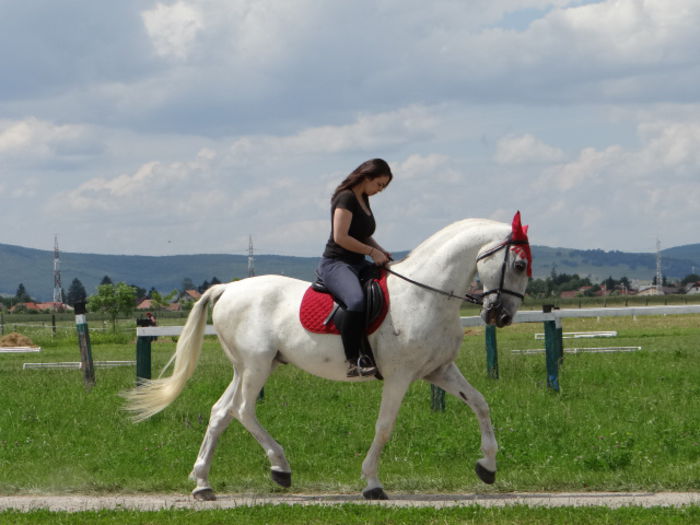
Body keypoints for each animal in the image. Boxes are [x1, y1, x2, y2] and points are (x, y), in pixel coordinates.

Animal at [124, 213, 532, 500]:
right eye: (518, 265)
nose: (501, 317)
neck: (426, 295)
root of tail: (227, 290)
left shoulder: (440, 371)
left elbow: (480, 404)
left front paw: (487, 466)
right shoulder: (400, 376)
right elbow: (384, 427)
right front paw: (372, 483)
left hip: (246, 367)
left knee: (221, 413)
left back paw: (203, 484)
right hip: (256, 366)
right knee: (242, 410)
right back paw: (280, 468)